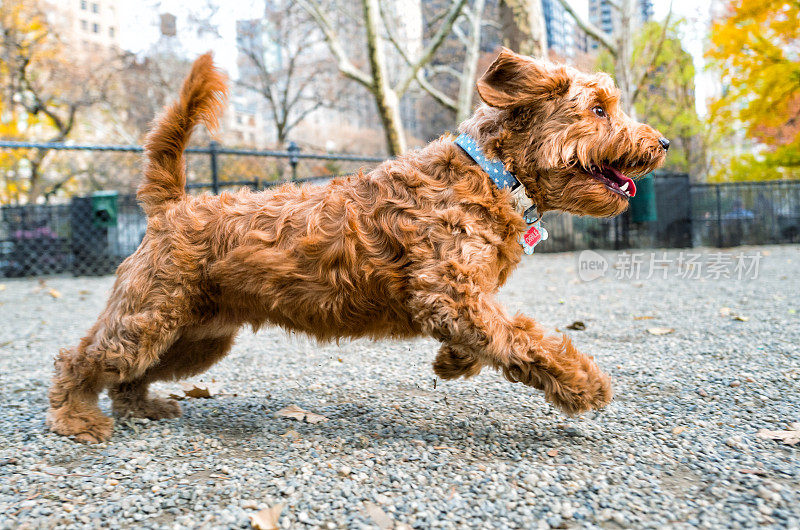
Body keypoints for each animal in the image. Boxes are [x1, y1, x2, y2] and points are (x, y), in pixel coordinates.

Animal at [45, 49, 668, 440]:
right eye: (599, 109)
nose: (661, 142)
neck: (492, 175)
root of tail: (172, 205)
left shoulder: (468, 301)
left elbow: (499, 337)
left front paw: (452, 362)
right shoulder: (449, 294)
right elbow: (529, 341)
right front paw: (583, 385)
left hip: (196, 336)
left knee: (130, 375)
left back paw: (142, 407)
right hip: (149, 317)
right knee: (80, 359)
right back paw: (77, 420)